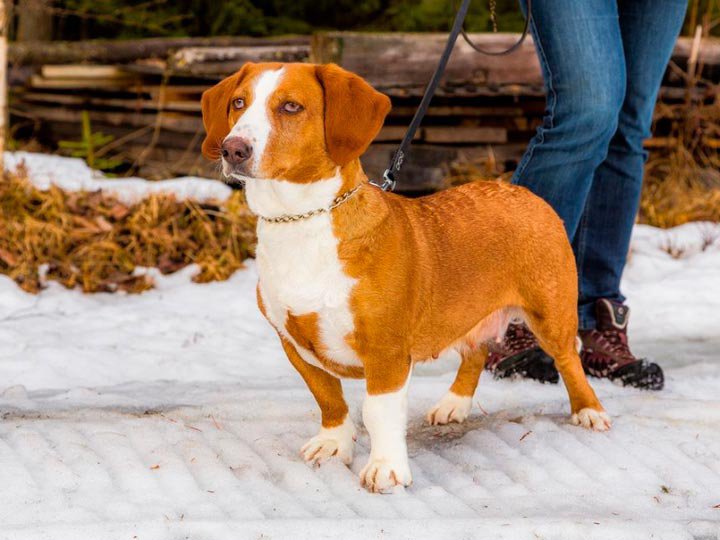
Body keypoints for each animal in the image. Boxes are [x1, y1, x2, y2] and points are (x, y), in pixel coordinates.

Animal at [200, 62, 612, 494]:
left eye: (291, 106)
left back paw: (589, 410)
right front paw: (334, 442)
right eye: (238, 102)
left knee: (568, 359)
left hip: (551, 314)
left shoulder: (386, 351)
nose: (232, 149)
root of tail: (523, 193)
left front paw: (386, 468)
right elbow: (327, 395)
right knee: (475, 351)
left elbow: (377, 411)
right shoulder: (293, 342)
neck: (300, 221)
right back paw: (454, 403)